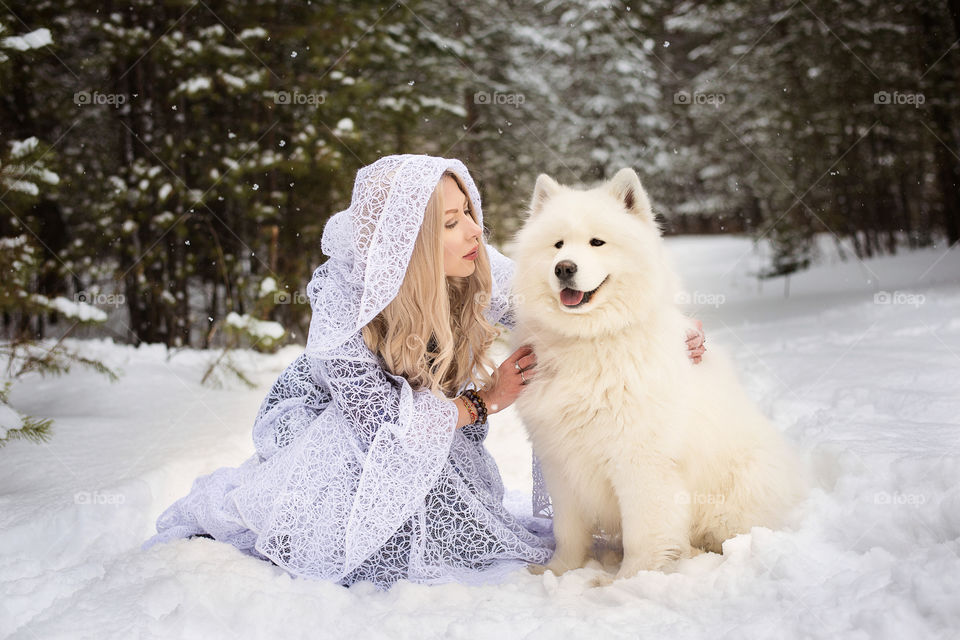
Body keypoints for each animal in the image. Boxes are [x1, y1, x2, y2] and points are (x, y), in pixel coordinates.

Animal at [510, 168, 804, 584]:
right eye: (558, 244)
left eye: (597, 242)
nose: (564, 267)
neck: (592, 341)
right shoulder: (561, 463)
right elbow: (568, 531)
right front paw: (558, 571)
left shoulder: (641, 464)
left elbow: (644, 533)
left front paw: (630, 580)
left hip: (738, 488)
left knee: (728, 537)